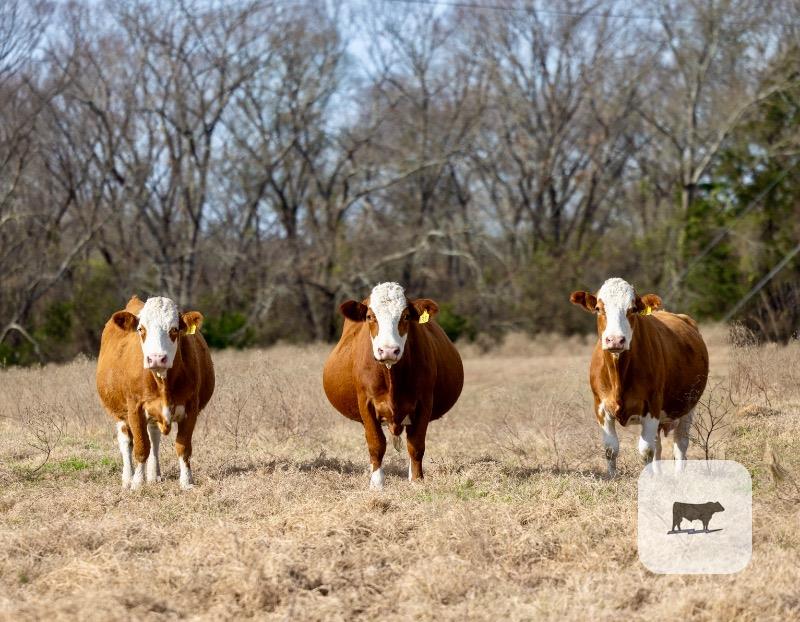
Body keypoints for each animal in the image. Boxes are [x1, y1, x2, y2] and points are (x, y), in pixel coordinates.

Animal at [96, 295, 215, 490]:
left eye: (174, 329)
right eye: (141, 329)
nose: (157, 358)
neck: (162, 381)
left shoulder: (191, 408)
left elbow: (183, 446)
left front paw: (187, 482)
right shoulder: (135, 409)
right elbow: (141, 447)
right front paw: (137, 483)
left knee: (154, 438)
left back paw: (154, 475)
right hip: (120, 412)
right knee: (126, 442)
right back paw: (127, 478)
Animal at [322, 282, 464, 489]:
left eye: (406, 316)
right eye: (370, 317)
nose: (388, 350)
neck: (391, 377)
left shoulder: (424, 403)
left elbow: (416, 445)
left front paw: (416, 480)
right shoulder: (366, 403)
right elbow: (376, 444)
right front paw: (376, 483)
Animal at [570, 277, 709, 476]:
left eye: (633, 308)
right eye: (598, 308)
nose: (615, 340)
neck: (618, 376)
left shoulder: (652, 406)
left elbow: (646, 450)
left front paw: (648, 478)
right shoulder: (601, 407)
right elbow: (611, 448)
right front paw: (612, 477)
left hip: (689, 405)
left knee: (680, 444)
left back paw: (678, 474)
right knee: (659, 446)